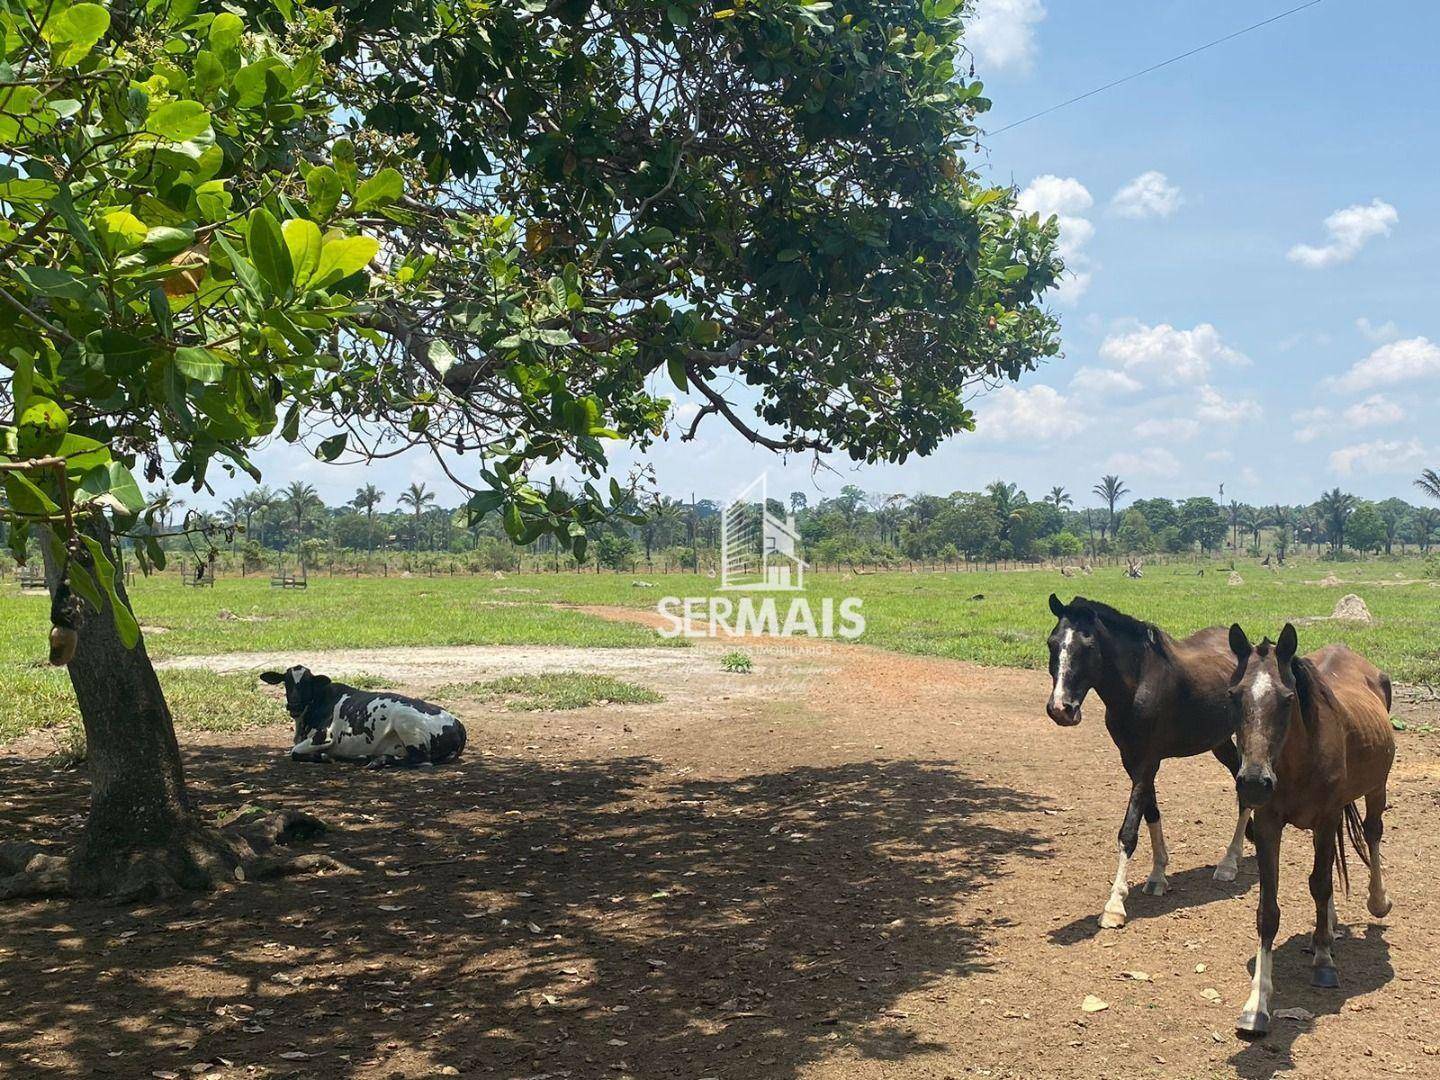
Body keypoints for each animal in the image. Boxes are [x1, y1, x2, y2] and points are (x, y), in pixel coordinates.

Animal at [257, 668, 460, 771]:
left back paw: (378, 760)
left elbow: (294, 752)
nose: (294, 706)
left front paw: (324, 757)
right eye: (286, 681)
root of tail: (458, 724)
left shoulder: (324, 736)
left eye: (307, 682)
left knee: (422, 760)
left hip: (406, 722)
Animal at [1042, 596, 1255, 933]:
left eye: (1088, 646)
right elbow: (1151, 812)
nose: (1061, 709)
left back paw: (1228, 863)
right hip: (1219, 742)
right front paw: (1157, 876)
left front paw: (1114, 905)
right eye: (1052, 643)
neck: (1137, 684)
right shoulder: (1133, 760)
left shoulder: (1146, 762)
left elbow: (1129, 830)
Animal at [1226, 624, 1393, 1042]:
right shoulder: (1268, 824)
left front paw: (1323, 962)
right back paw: (1330, 926)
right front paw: (1257, 1006)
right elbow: (1268, 911)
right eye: (1234, 695)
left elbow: (1319, 883)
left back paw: (1377, 901)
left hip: (1376, 788)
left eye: (1287, 699)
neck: (1296, 760)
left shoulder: (1327, 817)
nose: (1254, 783)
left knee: (1372, 834)